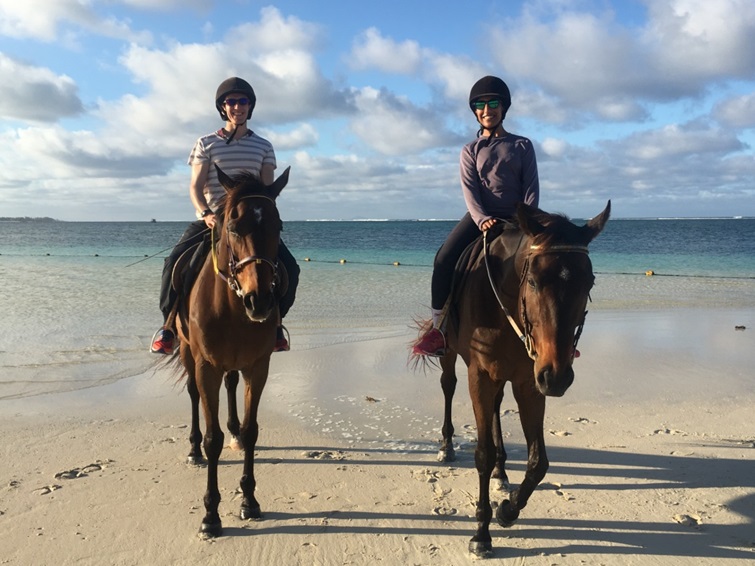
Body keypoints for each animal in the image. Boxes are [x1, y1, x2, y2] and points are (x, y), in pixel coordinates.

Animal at [177, 165, 292, 540]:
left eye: (278, 225)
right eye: (231, 226)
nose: (259, 300)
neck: (231, 307)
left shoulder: (258, 366)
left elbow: (252, 429)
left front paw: (249, 500)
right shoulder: (206, 366)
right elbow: (212, 439)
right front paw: (211, 515)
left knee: (230, 388)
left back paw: (235, 434)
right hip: (186, 351)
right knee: (193, 395)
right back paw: (193, 449)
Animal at [416, 201, 612, 560]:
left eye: (589, 282)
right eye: (532, 281)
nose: (558, 376)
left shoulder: (529, 382)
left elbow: (539, 462)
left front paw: (507, 509)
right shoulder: (480, 376)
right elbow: (482, 453)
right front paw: (481, 532)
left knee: (496, 407)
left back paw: (501, 473)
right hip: (450, 353)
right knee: (448, 387)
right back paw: (447, 446)